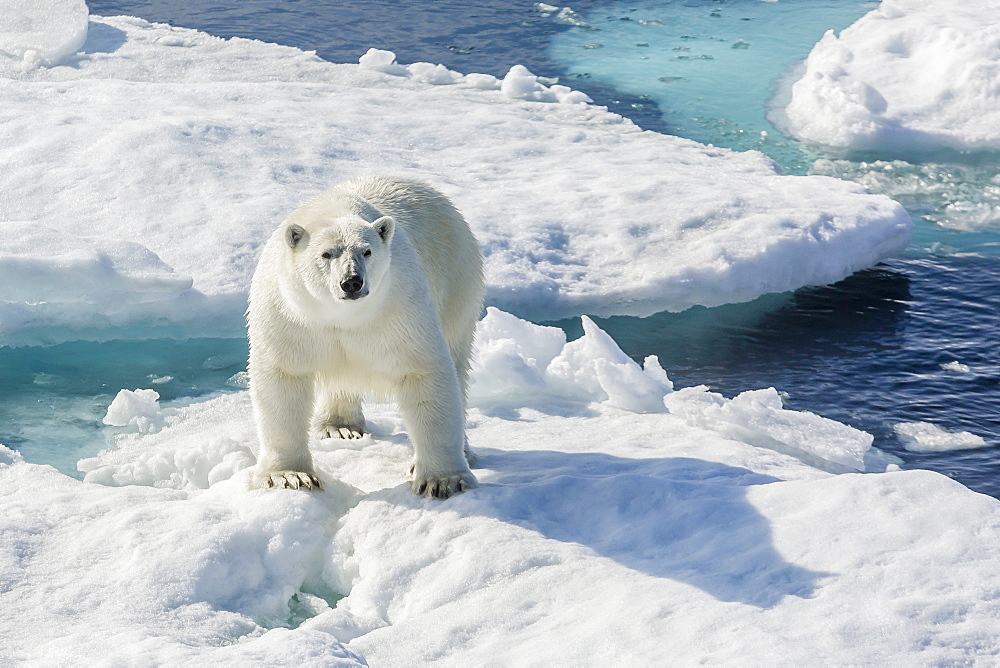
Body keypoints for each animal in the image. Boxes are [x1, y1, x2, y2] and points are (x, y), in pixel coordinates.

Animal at [248, 175, 486, 498]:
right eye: (326, 254)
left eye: (367, 251)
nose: (351, 282)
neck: (340, 315)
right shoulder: (288, 314)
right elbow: (283, 375)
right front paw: (289, 476)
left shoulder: (399, 306)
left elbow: (423, 370)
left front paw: (442, 480)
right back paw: (339, 426)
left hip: (458, 282)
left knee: (458, 360)